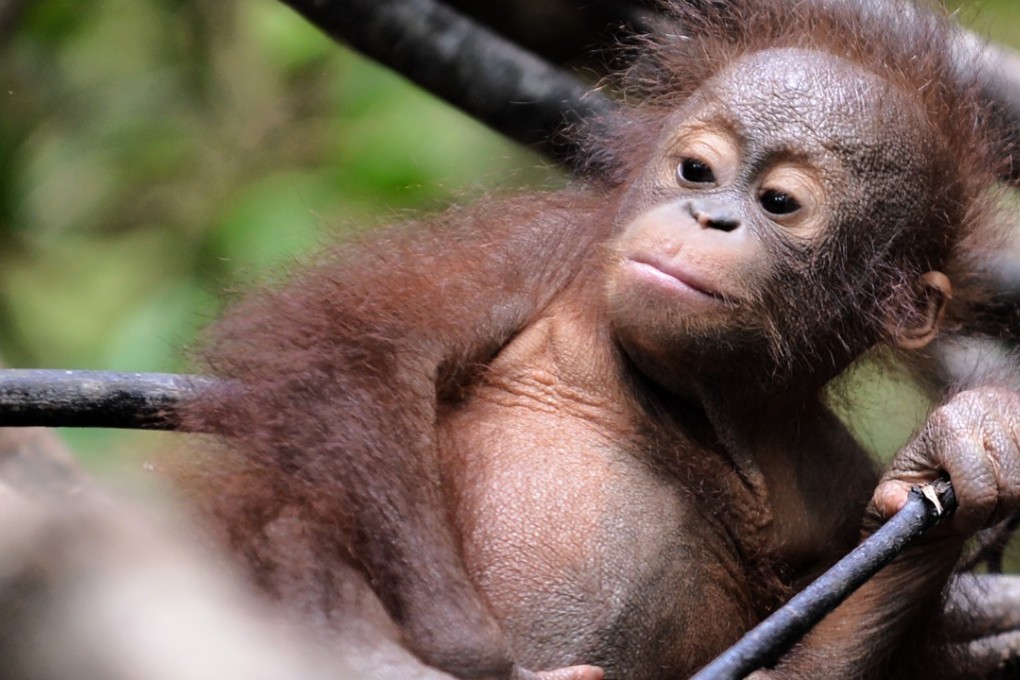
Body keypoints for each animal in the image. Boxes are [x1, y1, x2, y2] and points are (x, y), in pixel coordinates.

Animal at [177, 0, 1020, 678]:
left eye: (780, 202)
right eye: (696, 170)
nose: (709, 217)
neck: (707, 399)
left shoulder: (839, 484)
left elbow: (805, 659)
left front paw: (965, 444)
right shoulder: (535, 249)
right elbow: (368, 353)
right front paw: (458, 658)